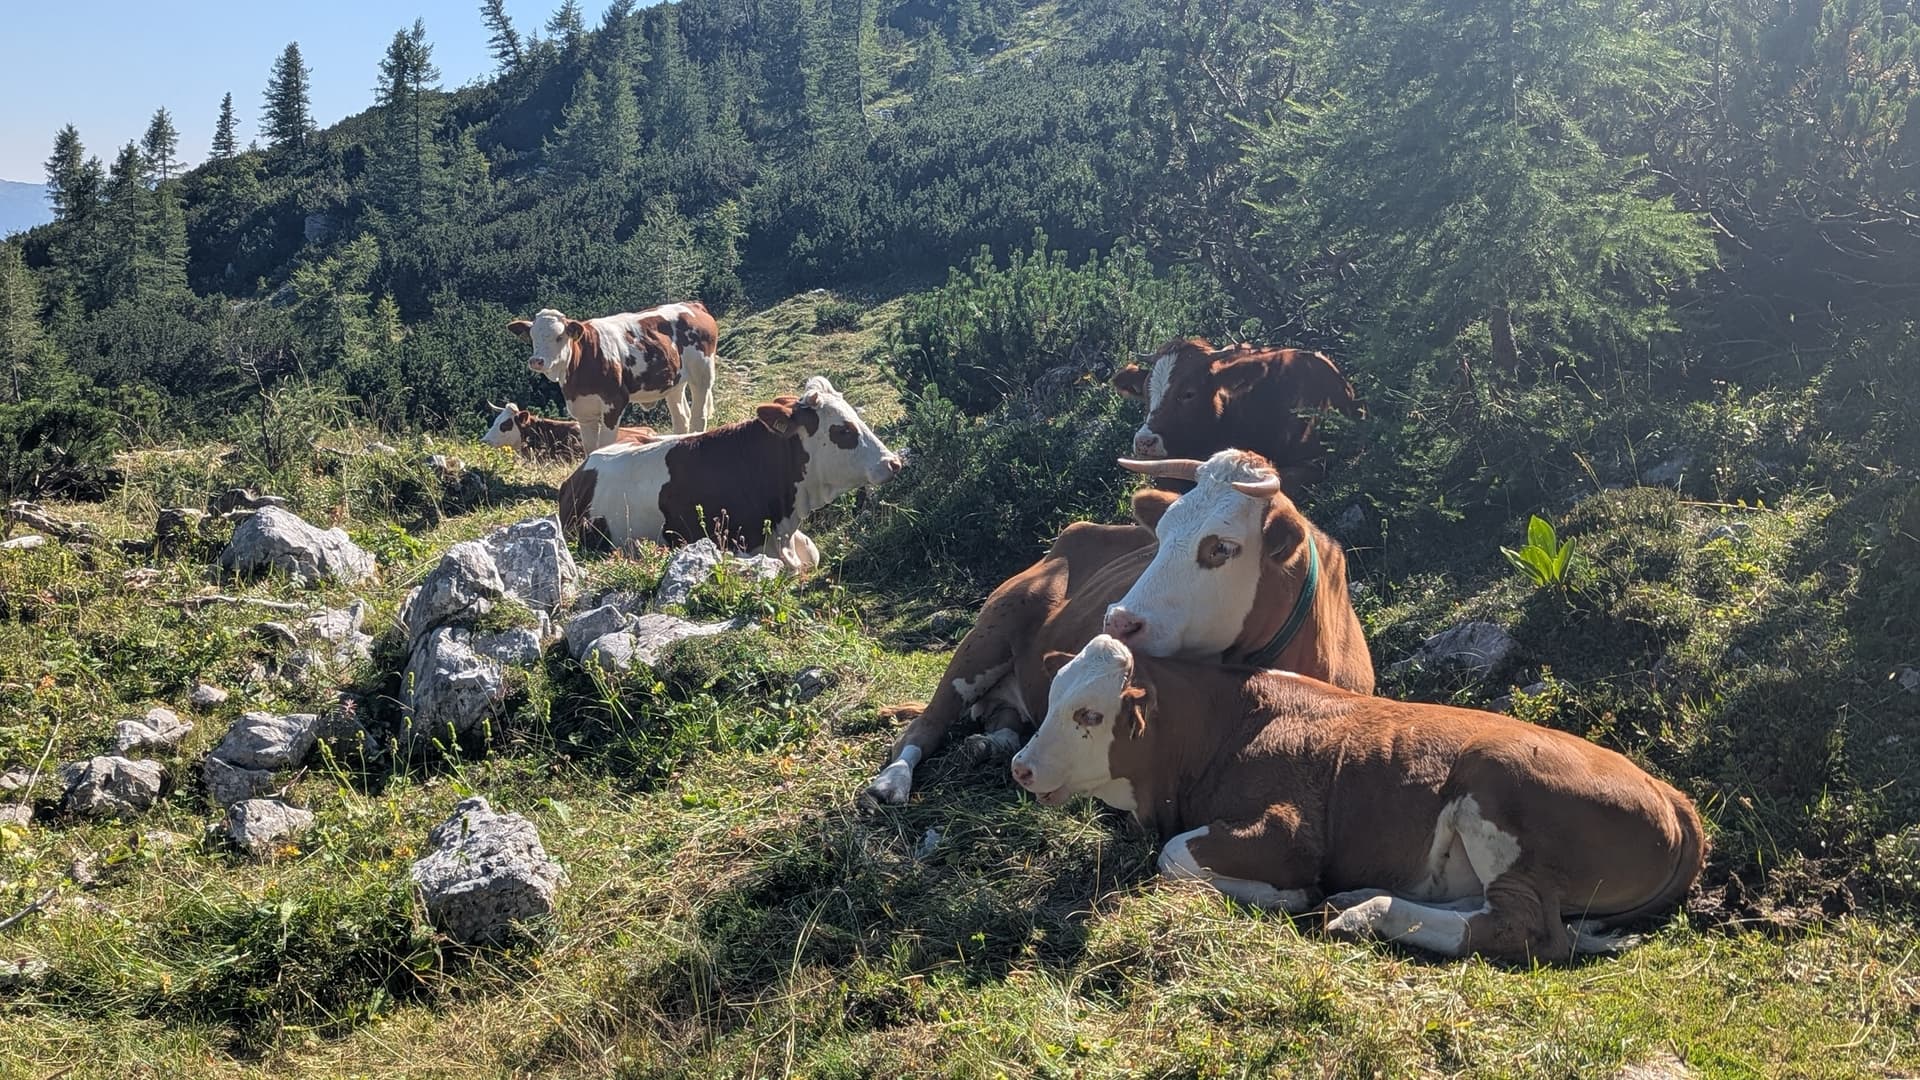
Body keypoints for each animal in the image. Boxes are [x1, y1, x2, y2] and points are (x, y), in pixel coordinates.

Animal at [507, 301, 719, 451]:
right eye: (532, 337)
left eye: (560, 337)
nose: (537, 360)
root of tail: (691, 305)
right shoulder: (582, 410)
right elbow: (590, 447)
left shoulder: (614, 403)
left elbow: (605, 445)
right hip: (674, 383)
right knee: (681, 418)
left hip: (702, 375)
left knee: (698, 417)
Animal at [862, 448, 1373, 807]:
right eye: (1160, 535)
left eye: (1222, 547)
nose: (1117, 619)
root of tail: (1070, 534)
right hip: (986, 634)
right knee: (924, 726)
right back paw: (890, 783)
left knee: (1009, 719)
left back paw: (987, 744)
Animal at [1012, 635, 1706, 963]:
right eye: (1052, 697)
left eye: (1087, 714)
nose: (1021, 767)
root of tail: (1669, 792)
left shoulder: (1289, 831)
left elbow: (1175, 855)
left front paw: (1285, 897)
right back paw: (1361, 900)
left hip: (1498, 781)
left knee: (1526, 930)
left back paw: (1362, 913)